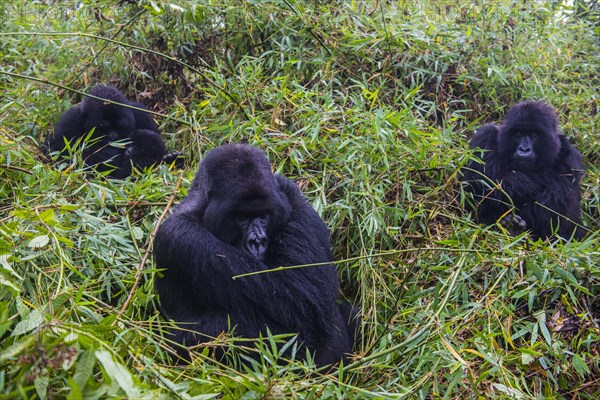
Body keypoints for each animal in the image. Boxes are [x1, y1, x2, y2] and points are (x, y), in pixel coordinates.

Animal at [44, 85, 180, 179]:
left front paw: (170, 158)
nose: (113, 137)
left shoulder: (141, 114)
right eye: (102, 127)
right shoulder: (68, 121)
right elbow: (58, 158)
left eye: (119, 127)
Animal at [154, 143, 356, 366]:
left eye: (264, 216)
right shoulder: (181, 235)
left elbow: (312, 295)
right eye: (242, 217)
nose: (257, 242)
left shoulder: (289, 194)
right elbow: (297, 306)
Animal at [462, 101, 584, 241]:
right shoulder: (484, 139)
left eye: (534, 134)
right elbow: (483, 178)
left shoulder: (570, 157)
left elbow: (558, 198)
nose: (524, 149)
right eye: (518, 133)